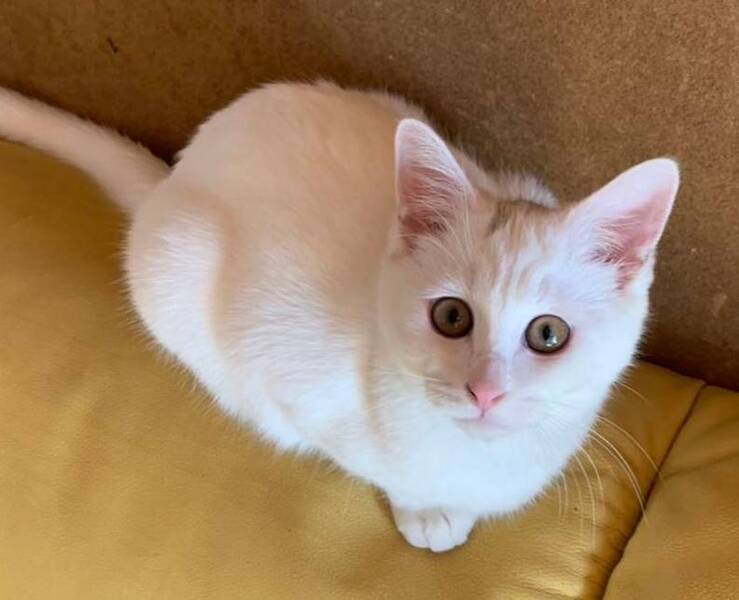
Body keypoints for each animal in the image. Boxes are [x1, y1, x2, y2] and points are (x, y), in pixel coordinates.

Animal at [0, 81, 679, 552]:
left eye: (548, 334)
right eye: (452, 316)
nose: (484, 391)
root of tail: (177, 173)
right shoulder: (291, 385)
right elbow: (350, 453)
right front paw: (424, 510)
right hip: (176, 266)